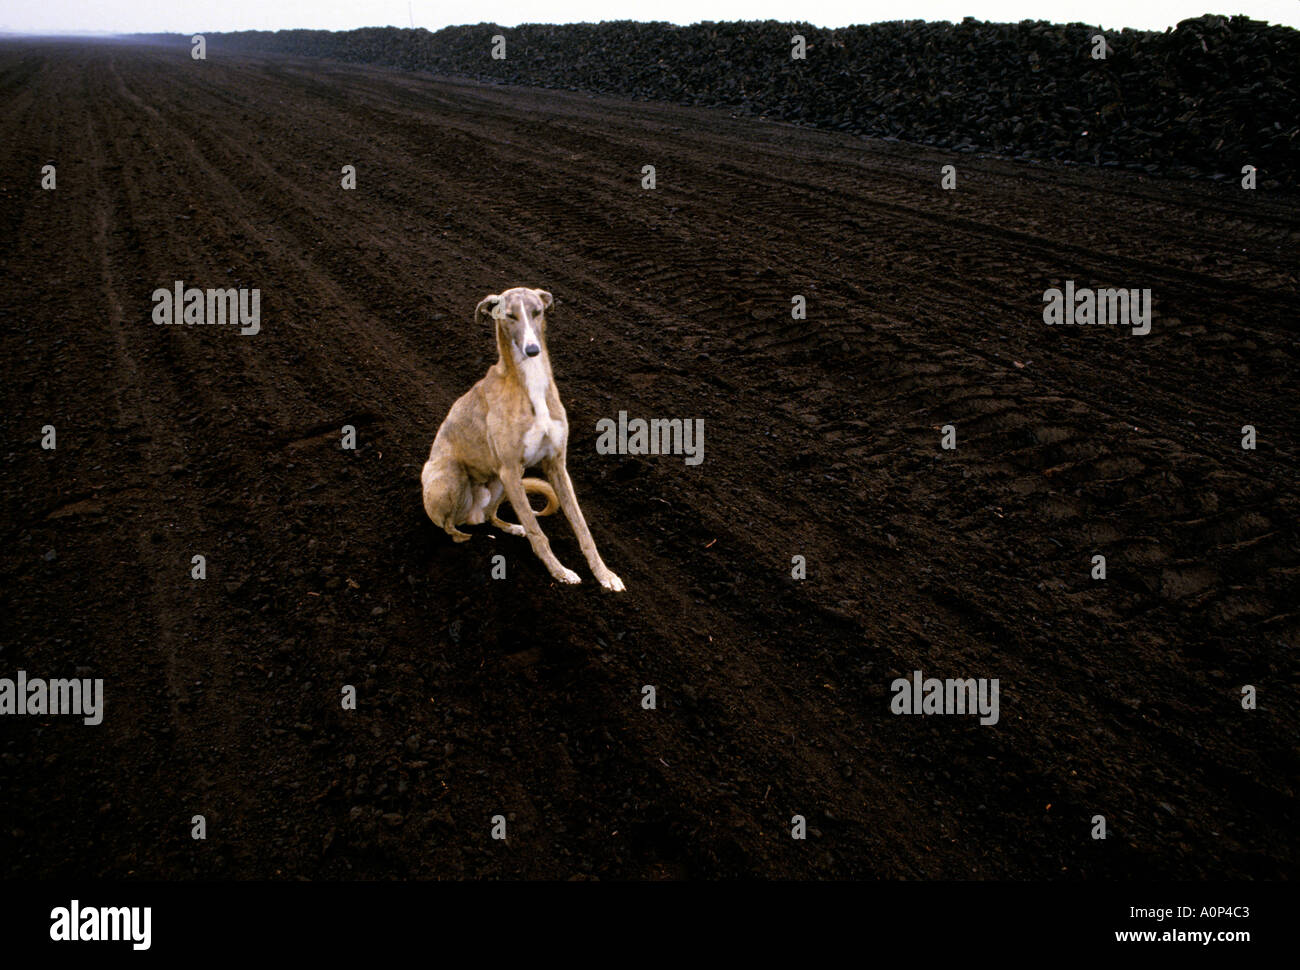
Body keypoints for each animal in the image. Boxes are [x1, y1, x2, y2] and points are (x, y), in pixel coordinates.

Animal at [421, 284, 624, 590]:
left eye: (537, 312)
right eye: (510, 316)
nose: (532, 350)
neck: (530, 384)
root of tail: (470, 515)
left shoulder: (556, 465)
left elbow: (581, 527)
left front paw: (605, 575)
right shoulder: (509, 467)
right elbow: (538, 532)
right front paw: (560, 572)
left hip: (501, 484)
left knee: (492, 517)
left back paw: (511, 528)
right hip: (451, 478)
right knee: (450, 527)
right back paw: (468, 539)